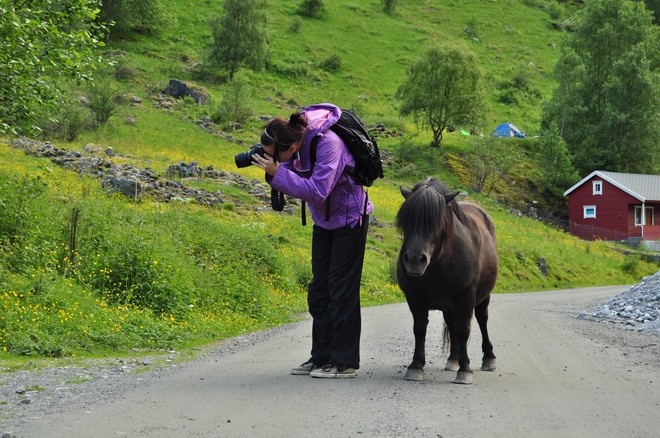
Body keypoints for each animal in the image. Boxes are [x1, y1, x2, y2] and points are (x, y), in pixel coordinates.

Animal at [394, 178, 498, 384]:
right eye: (407, 220)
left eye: (436, 222)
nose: (415, 260)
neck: (439, 262)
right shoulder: (414, 297)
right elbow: (420, 328)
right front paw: (416, 366)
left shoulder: (466, 297)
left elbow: (464, 330)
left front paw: (465, 371)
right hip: (449, 305)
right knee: (452, 324)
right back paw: (454, 359)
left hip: (481, 298)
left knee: (482, 319)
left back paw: (488, 358)